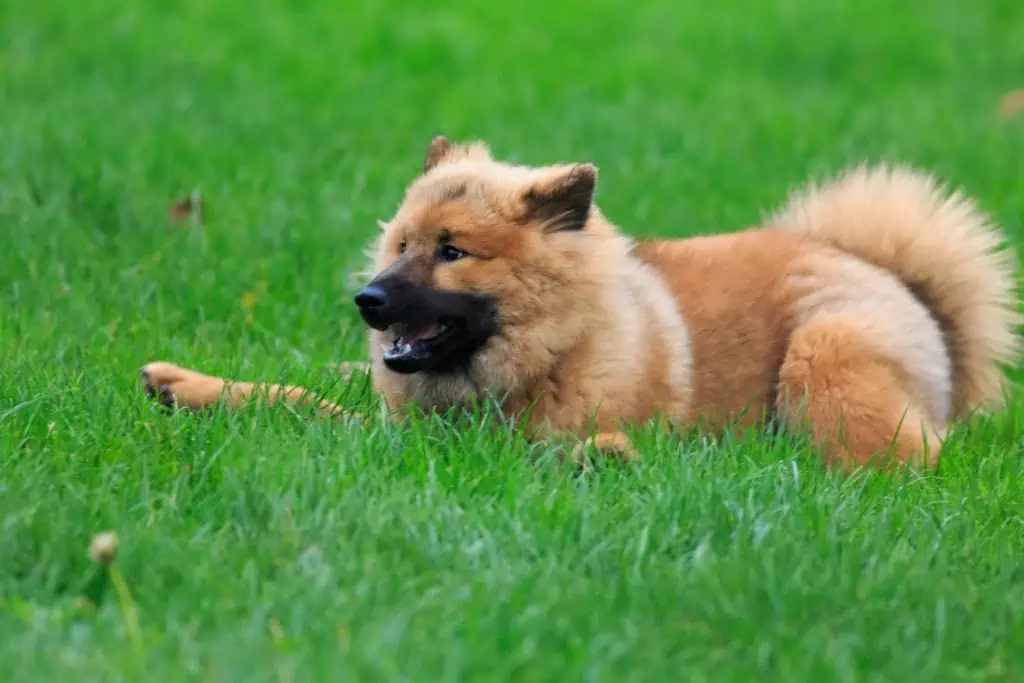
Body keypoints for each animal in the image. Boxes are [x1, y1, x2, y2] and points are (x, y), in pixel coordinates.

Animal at [140, 137, 1019, 471]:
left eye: (452, 252)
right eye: (399, 244)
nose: (368, 299)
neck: (552, 345)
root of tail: (892, 276)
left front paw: (602, 453)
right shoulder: (390, 414)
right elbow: (299, 397)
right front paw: (191, 386)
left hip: (824, 352)